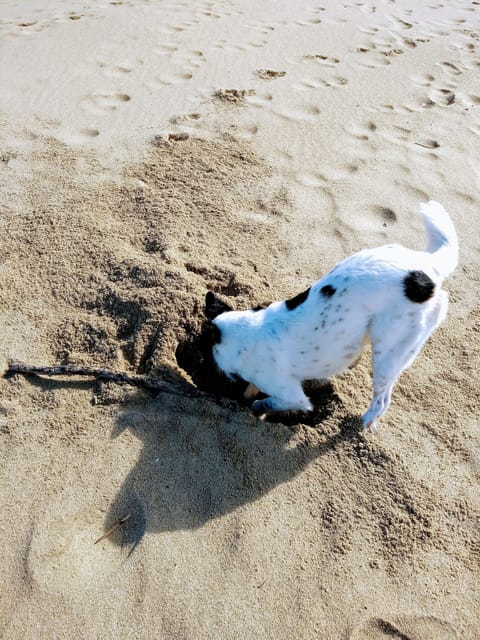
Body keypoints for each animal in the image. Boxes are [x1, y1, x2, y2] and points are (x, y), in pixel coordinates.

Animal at [203, 200, 458, 430]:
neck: (249, 331)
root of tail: (426, 266)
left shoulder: (292, 395)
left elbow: (270, 402)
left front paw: (257, 408)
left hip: (388, 352)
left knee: (383, 400)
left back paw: (364, 422)